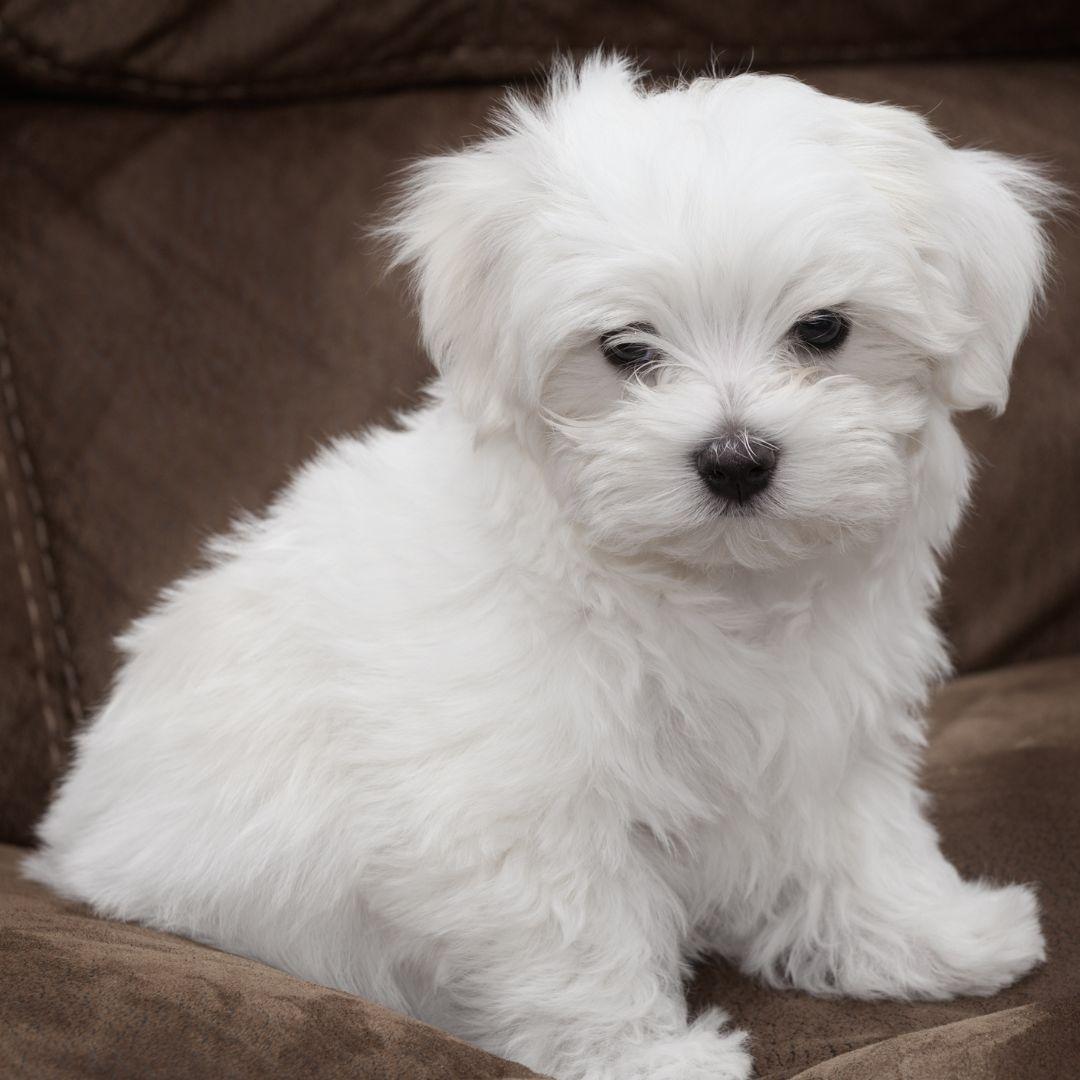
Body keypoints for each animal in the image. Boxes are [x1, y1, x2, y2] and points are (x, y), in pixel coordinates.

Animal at [25, 56, 1054, 1080]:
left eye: (825, 330)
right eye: (626, 349)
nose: (735, 459)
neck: (707, 591)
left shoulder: (825, 733)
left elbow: (859, 843)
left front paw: (932, 935)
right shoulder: (515, 805)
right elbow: (576, 934)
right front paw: (643, 1057)